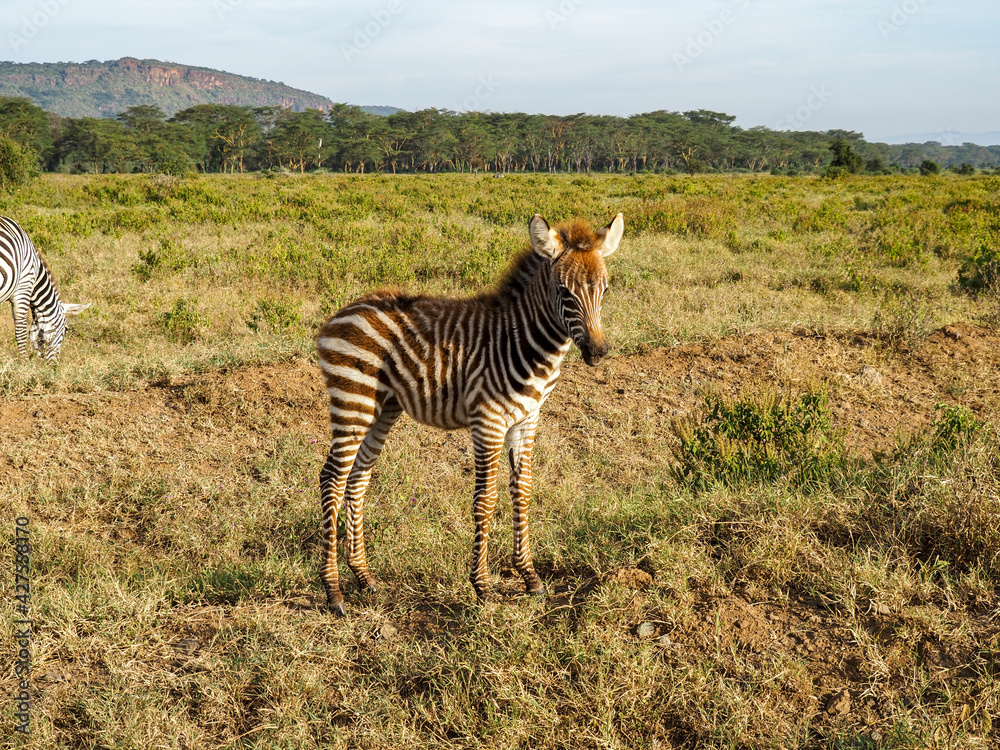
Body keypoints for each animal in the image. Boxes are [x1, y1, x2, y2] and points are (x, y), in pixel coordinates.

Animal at [0, 216, 88, 362]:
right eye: (65, 330)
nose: (55, 364)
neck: (36, 275)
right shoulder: (23, 289)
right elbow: (21, 330)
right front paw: (23, 362)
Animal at [316, 212, 624, 615]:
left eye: (605, 290)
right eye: (563, 292)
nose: (598, 352)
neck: (526, 344)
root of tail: (343, 312)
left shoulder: (527, 420)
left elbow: (522, 490)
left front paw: (530, 577)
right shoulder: (488, 422)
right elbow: (486, 500)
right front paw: (483, 587)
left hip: (383, 407)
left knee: (357, 480)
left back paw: (365, 578)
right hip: (353, 399)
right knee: (331, 480)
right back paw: (333, 592)